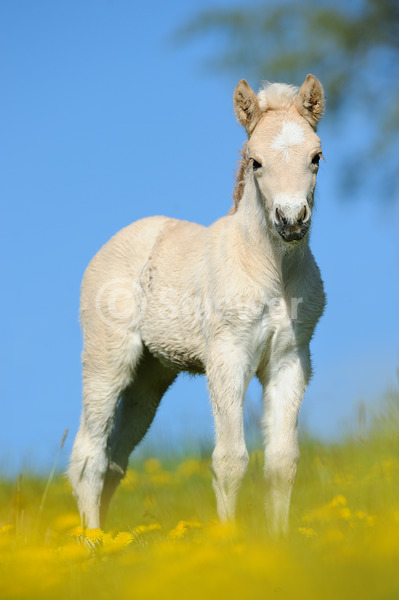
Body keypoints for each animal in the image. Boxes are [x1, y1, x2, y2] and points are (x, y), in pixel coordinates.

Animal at [69, 75, 324, 536]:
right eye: (255, 161)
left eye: (316, 157)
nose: (291, 220)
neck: (272, 273)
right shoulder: (227, 358)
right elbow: (230, 460)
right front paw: (228, 544)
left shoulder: (290, 360)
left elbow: (282, 463)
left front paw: (280, 544)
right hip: (106, 360)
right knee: (87, 458)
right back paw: (92, 545)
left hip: (150, 377)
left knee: (116, 459)